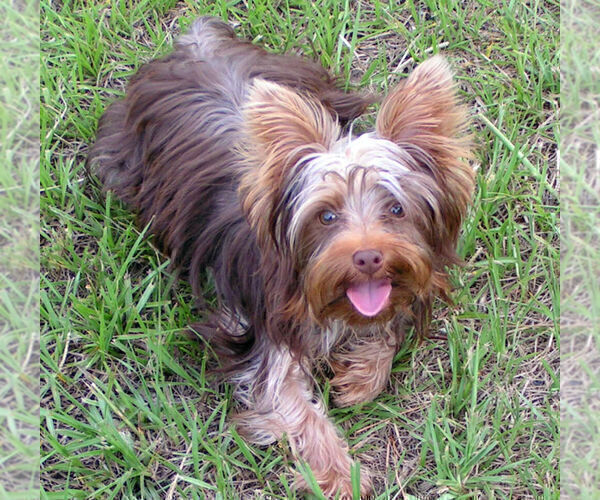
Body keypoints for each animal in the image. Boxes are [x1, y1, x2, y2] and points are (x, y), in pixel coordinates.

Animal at [88, 16, 474, 500]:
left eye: (396, 209)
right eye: (326, 215)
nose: (368, 257)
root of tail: (197, 43)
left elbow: (388, 328)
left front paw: (360, 378)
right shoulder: (264, 332)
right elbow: (291, 404)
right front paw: (340, 473)